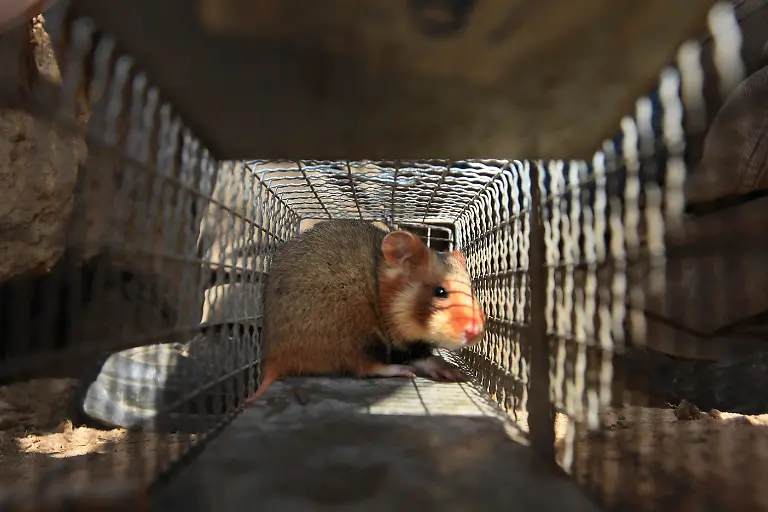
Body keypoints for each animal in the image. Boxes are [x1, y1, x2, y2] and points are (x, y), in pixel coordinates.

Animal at [245, 219, 486, 405]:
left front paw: (453, 371)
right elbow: (419, 357)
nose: (476, 332)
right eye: (440, 291)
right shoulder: (395, 339)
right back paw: (399, 370)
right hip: (354, 333)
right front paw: (448, 369)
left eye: (472, 291)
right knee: (363, 367)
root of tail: (274, 360)